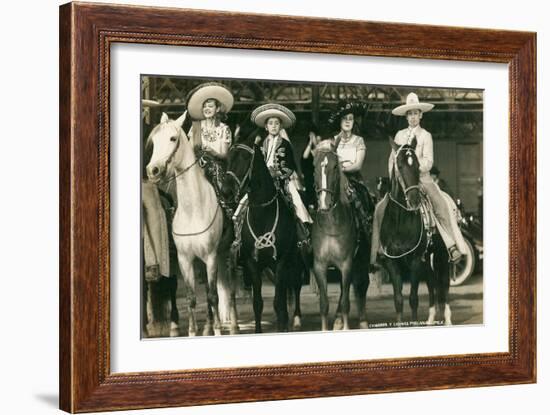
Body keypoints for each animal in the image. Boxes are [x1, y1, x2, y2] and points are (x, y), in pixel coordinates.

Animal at [147, 112, 239, 336]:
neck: (193, 211)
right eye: (154, 141)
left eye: (173, 138)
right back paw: (207, 327)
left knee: (230, 290)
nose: (153, 170)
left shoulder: (211, 256)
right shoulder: (185, 259)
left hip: (227, 254)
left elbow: (213, 296)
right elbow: (191, 298)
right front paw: (192, 331)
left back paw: (233, 326)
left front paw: (218, 331)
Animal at [220, 125, 306, 334]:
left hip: (296, 259)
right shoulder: (253, 264)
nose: (225, 192)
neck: (262, 214)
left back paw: (296, 319)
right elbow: (258, 303)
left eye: (245, 158)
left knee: (296, 285)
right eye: (228, 158)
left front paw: (283, 326)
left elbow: (278, 301)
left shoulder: (281, 261)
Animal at [310, 142, 370, 332]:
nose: (324, 204)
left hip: (361, 259)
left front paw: (346, 326)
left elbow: (345, 302)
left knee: (361, 285)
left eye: (335, 167)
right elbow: (324, 304)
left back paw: (363, 320)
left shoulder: (346, 264)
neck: (331, 224)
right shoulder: (320, 265)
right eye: (314, 167)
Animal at [382, 138, 454, 326]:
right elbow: (398, 300)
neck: (399, 222)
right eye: (399, 165)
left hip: (442, 256)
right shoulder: (392, 262)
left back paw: (447, 318)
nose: (414, 200)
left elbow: (413, 299)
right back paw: (430, 319)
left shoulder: (414, 260)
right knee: (432, 284)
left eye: (417, 165)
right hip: (427, 260)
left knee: (444, 283)